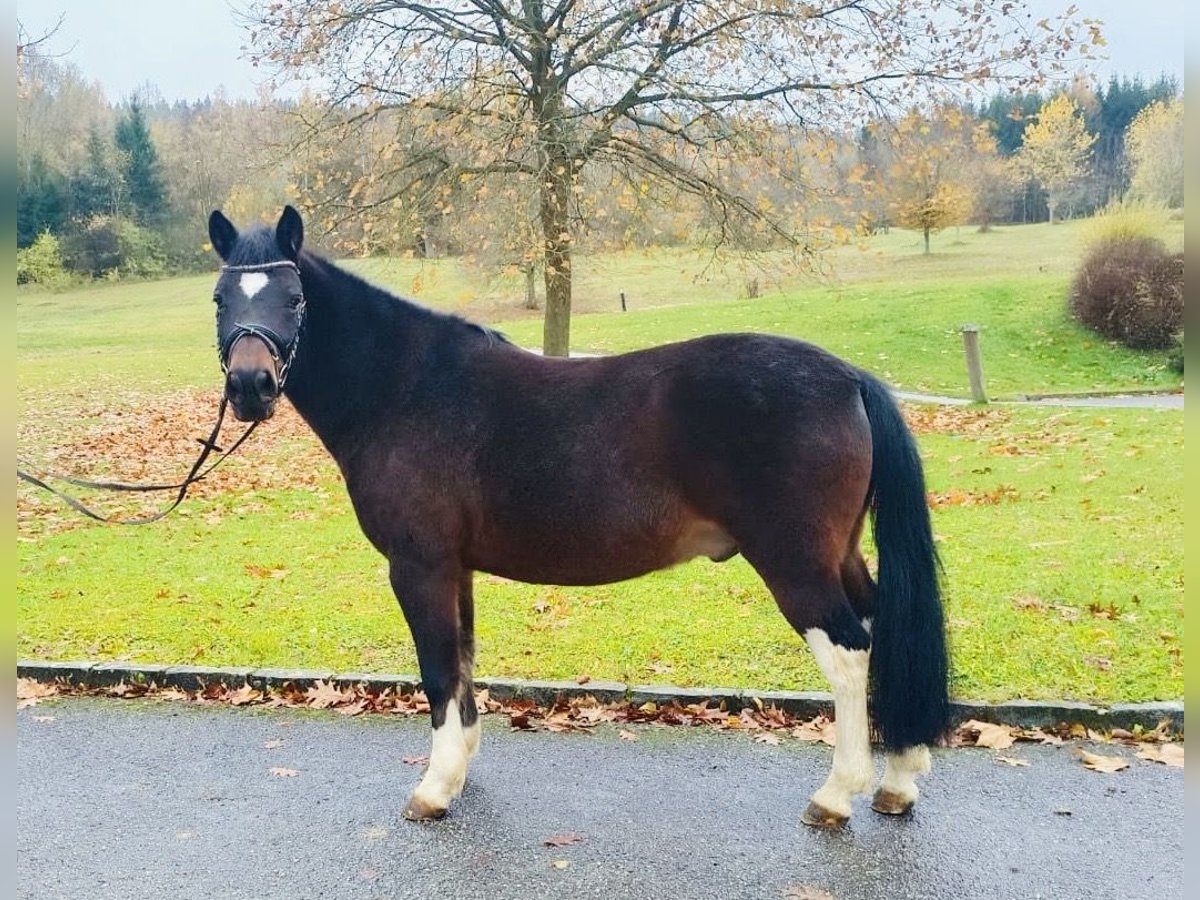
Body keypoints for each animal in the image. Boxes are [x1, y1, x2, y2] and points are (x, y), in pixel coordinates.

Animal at [211, 206, 950, 830]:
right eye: (221, 300)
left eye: (294, 300)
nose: (250, 387)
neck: (405, 388)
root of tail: (850, 378)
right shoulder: (456, 569)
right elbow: (463, 663)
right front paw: (459, 772)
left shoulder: (418, 567)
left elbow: (438, 669)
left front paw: (433, 789)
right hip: (839, 553)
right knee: (882, 628)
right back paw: (898, 778)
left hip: (795, 563)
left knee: (849, 654)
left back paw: (837, 794)